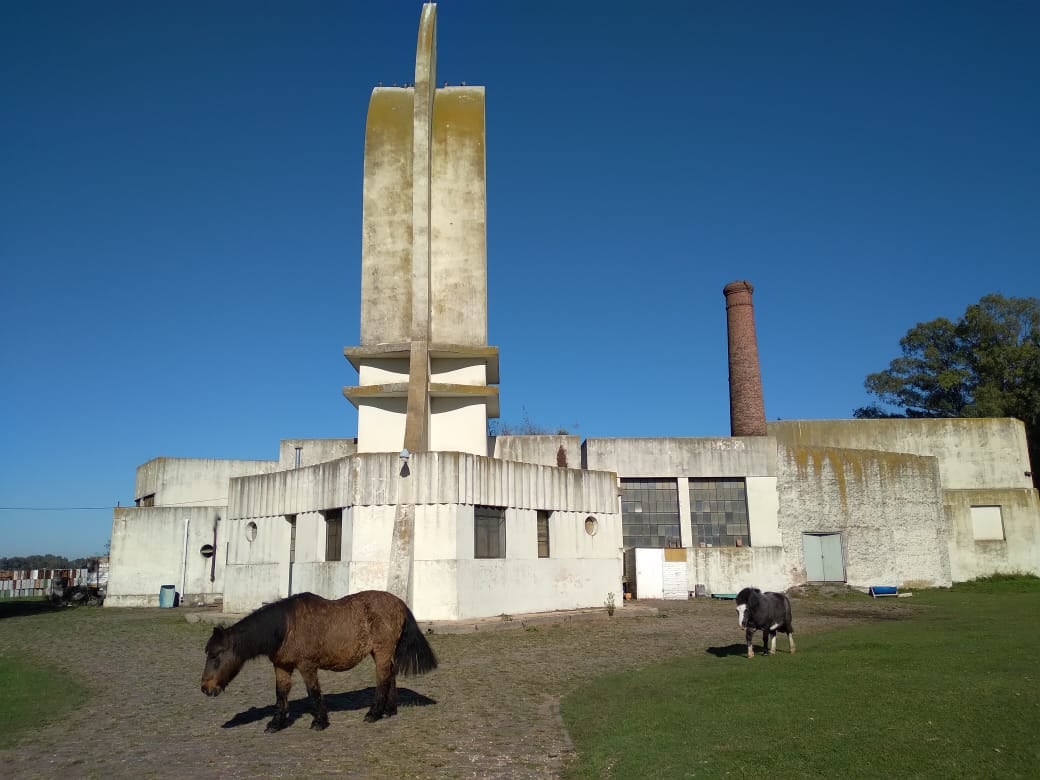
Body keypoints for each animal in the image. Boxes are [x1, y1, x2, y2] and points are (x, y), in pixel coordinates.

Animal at [200, 590, 436, 732]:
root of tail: (399, 603)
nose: (205, 688)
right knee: (390, 676)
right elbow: (280, 693)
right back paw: (389, 710)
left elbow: (313, 692)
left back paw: (374, 714)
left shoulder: (307, 666)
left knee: (382, 679)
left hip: (382, 651)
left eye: (215, 654)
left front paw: (320, 722)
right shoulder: (281, 666)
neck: (286, 627)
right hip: (382, 653)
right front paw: (276, 723)